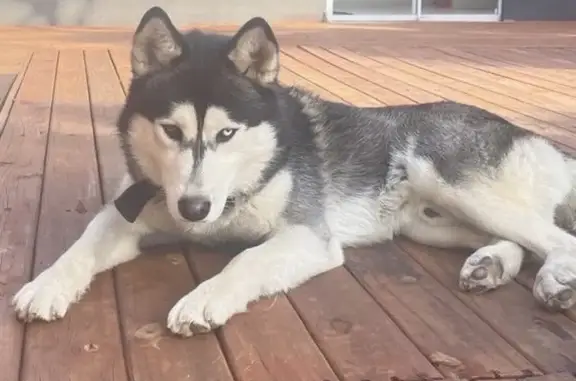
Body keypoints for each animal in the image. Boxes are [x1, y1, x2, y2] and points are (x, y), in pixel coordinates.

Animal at [11, 6, 576, 336]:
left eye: (226, 134)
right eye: (171, 131)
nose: (193, 208)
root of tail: (526, 131)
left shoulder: (308, 236)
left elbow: (245, 261)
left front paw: (204, 297)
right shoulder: (133, 207)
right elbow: (82, 244)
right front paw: (47, 284)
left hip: (452, 181)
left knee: (556, 239)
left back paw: (553, 280)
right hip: (430, 222)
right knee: (523, 241)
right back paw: (491, 264)